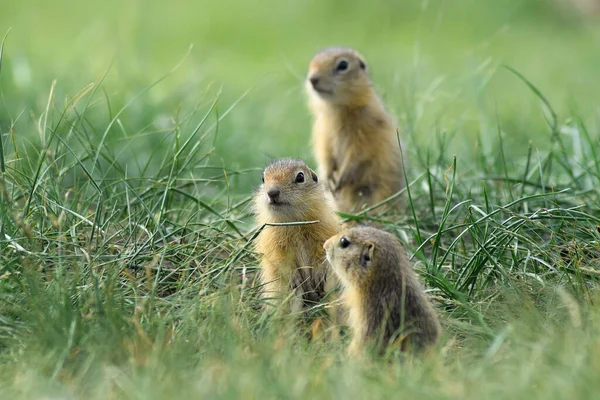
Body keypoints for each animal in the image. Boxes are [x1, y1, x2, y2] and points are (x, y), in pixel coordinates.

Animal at [253, 159, 342, 316]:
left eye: (300, 177)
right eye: (263, 179)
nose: (272, 192)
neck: (294, 223)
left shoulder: (325, 230)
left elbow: (323, 252)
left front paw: (319, 275)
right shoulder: (271, 238)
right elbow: (278, 258)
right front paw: (294, 278)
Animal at [308, 47, 406, 214]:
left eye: (343, 65)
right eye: (312, 63)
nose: (312, 79)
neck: (338, 109)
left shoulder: (365, 129)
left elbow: (358, 153)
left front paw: (341, 179)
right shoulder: (322, 131)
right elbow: (325, 154)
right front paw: (328, 179)